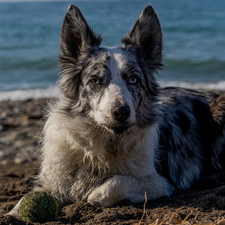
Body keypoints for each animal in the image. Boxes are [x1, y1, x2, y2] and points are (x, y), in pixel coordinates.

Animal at [6, 3, 225, 218]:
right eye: (95, 81)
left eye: (133, 80)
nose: (121, 112)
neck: (104, 145)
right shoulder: (53, 181)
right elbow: (23, 202)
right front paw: (12, 214)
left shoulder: (163, 180)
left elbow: (120, 181)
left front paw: (98, 193)